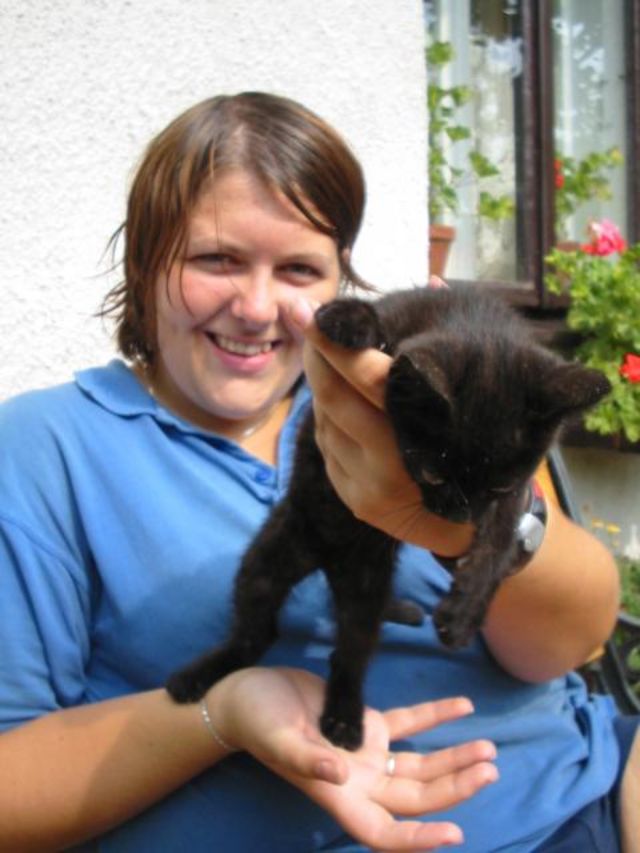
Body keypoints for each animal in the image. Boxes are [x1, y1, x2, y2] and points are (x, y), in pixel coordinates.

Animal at [166, 285, 611, 749]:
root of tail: (327, 562)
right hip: (268, 558)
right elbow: (377, 322)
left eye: (499, 488)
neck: (476, 318)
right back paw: (201, 675)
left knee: (351, 651)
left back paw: (344, 718)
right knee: (257, 632)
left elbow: (500, 541)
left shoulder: (514, 494)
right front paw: (348, 319)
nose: (458, 514)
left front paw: (466, 608)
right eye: (432, 472)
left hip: (364, 588)